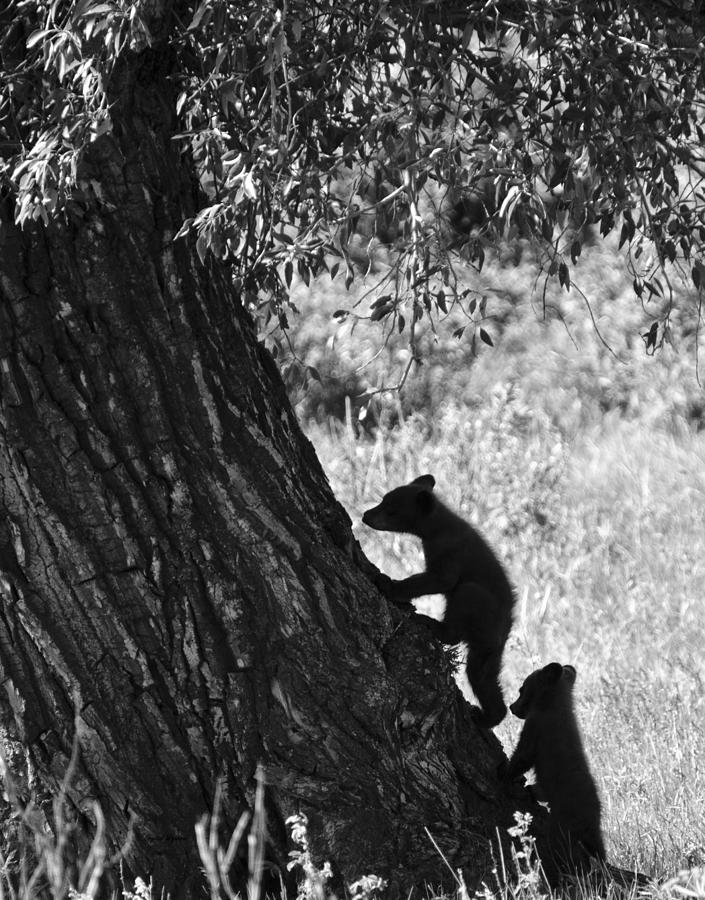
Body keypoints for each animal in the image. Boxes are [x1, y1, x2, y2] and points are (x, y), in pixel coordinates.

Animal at [362, 474, 514, 727]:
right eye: (383, 498)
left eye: (392, 509)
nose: (366, 515)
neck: (438, 527)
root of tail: (505, 629)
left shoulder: (451, 552)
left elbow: (440, 580)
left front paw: (389, 584)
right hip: (489, 648)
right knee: (482, 675)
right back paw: (490, 716)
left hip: (480, 604)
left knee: (463, 604)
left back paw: (430, 622)